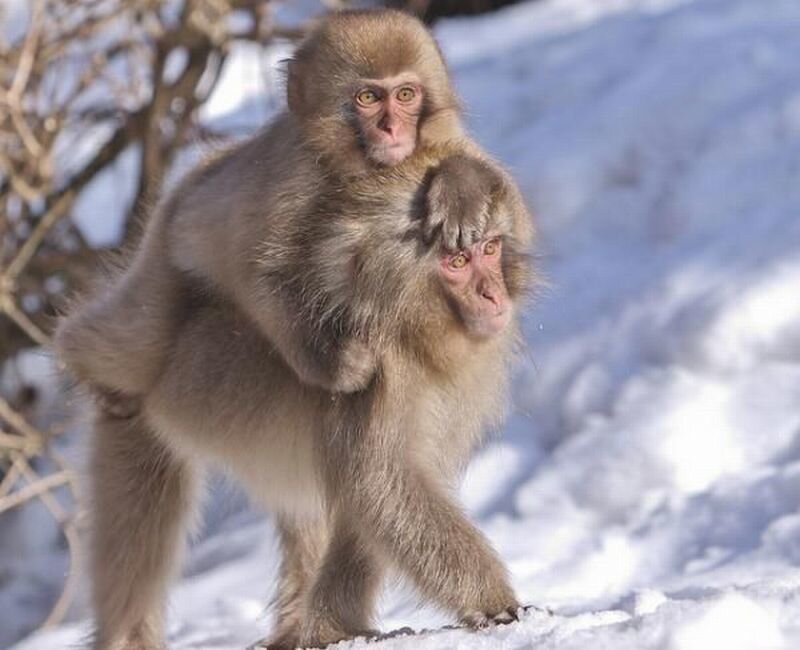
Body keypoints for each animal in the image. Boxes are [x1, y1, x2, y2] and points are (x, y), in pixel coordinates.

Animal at [79, 147, 534, 650]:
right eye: (456, 263)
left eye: (490, 250)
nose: (493, 296)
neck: (415, 331)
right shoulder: (384, 377)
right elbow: (380, 480)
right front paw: (495, 602)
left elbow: (370, 497)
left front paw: (335, 626)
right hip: (135, 399)